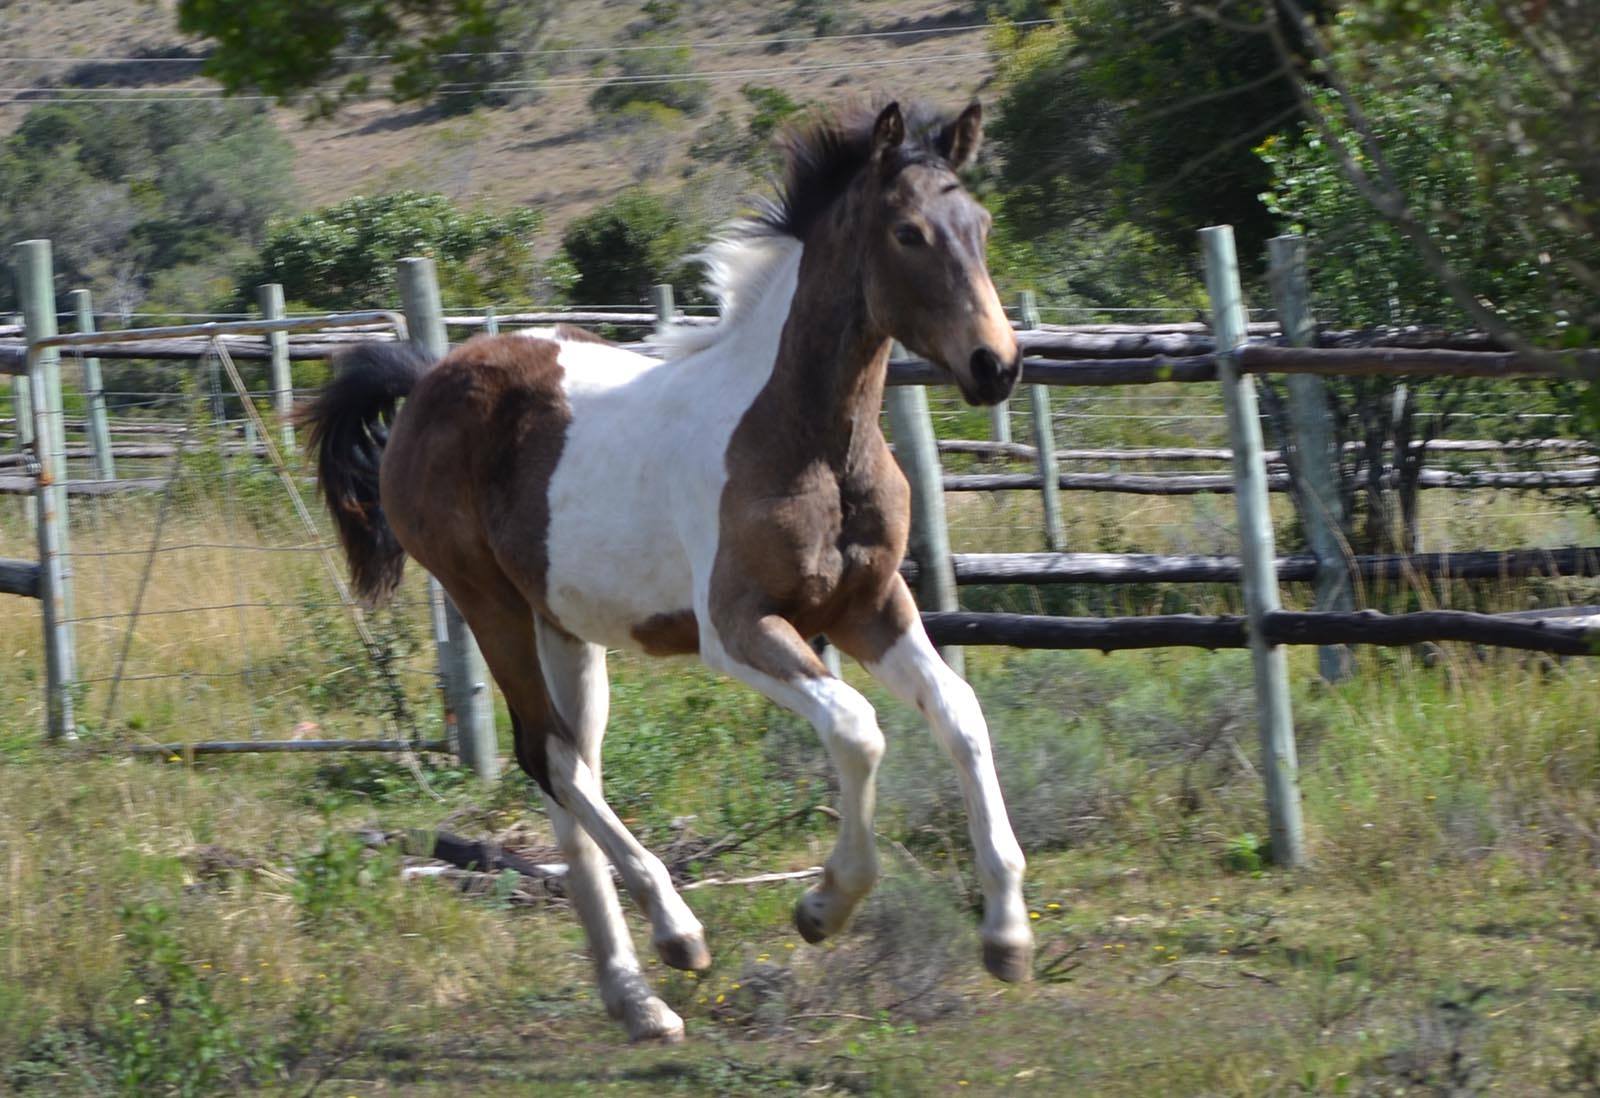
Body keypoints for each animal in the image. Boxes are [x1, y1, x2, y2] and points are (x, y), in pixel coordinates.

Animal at [308, 98, 1036, 1043]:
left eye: (979, 226)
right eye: (908, 233)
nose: (997, 365)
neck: (807, 438)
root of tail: (430, 375)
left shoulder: (871, 607)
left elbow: (961, 714)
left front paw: (1007, 936)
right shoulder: (737, 628)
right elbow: (857, 729)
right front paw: (824, 907)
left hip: (566, 628)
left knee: (570, 774)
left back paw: (636, 999)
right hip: (486, 603)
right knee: (550, 757)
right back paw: (677, 934)